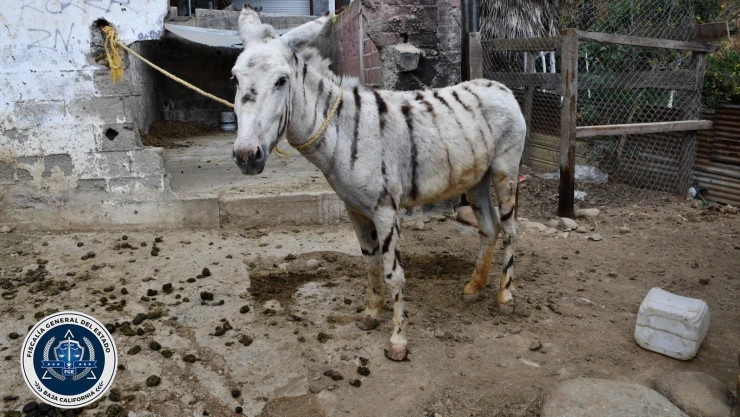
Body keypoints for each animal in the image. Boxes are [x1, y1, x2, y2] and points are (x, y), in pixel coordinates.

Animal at [232, 6, 526, 361]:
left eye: (281, 80)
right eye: (235, 79)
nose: (246, 156)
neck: (342, 132)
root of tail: (501, 87)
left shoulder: (385, 209)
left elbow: (393, 274)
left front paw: (398, 340)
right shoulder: (355, 210)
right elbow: (370, 264)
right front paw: (371, 315)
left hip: (504, 171)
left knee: (510, 231)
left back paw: (505, 298)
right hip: (476, 178)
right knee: (489, 227)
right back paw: (474, 288)